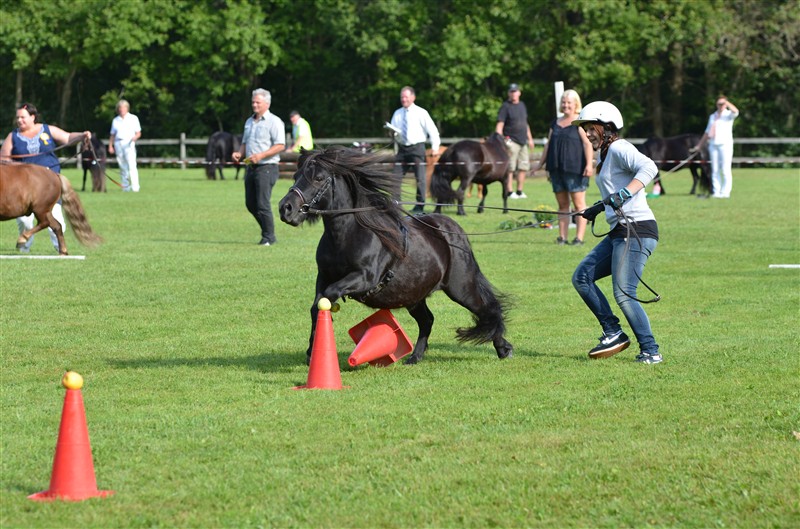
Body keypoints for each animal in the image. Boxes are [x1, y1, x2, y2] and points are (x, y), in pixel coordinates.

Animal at [276, 146, 512, 366]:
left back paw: (503, 349)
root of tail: (452, 229)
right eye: (296, 175)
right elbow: (317, 305)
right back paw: (415, 357)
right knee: (427, 320)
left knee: (488, 310)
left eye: (318, 178)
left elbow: (329, 294)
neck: (348, 234)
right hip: (414, 295)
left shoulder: (364, 278)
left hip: (461, 288)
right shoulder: (324, 276)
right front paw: (311, 352)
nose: (285, 208)